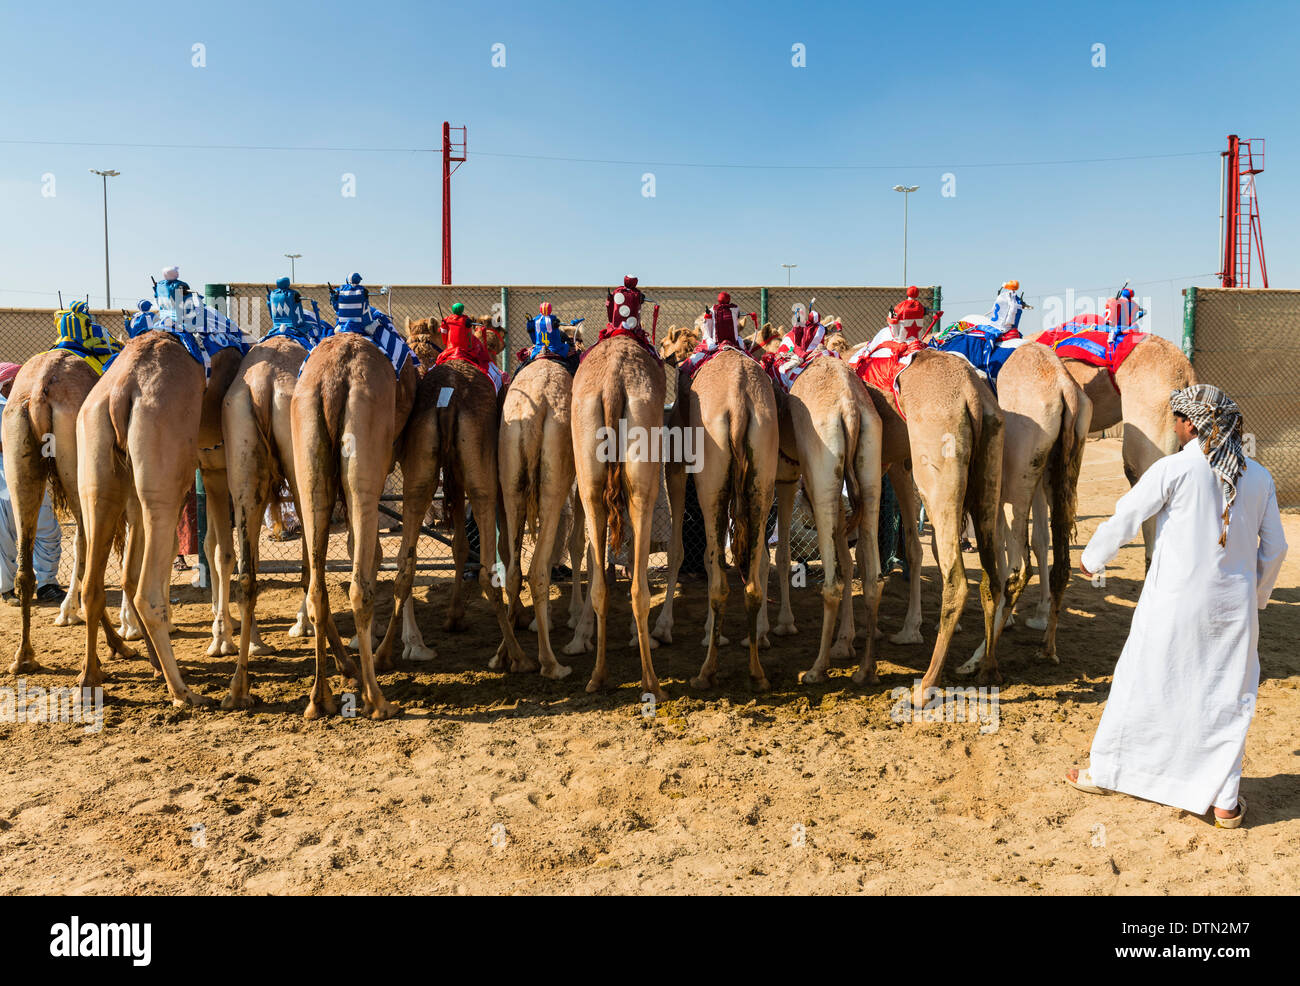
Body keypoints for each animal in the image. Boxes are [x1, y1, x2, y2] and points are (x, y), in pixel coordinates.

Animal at [1, 351, 135, 676]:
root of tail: (39, 393)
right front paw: (132, 626)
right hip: (80, 465)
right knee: (89, 560)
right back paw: (112, 648)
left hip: (18, 452)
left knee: (27, 567)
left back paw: (23, 658)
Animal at [293, 331, 416, 718]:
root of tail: (332, 379)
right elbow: (375, 556)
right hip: (364, 461)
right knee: (358, 588)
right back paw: (377, 699)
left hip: (309, 469)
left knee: (317, 587)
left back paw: (320, 698)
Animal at [655, 351, 774, 692]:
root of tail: (739, 401)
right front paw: (713, 632)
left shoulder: (677, 467)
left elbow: (679, 551)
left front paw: (664, 628)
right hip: (762, 474)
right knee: (753, 578)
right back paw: (757, 672)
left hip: (710, 477)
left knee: (720, 582)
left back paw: (705, 673)